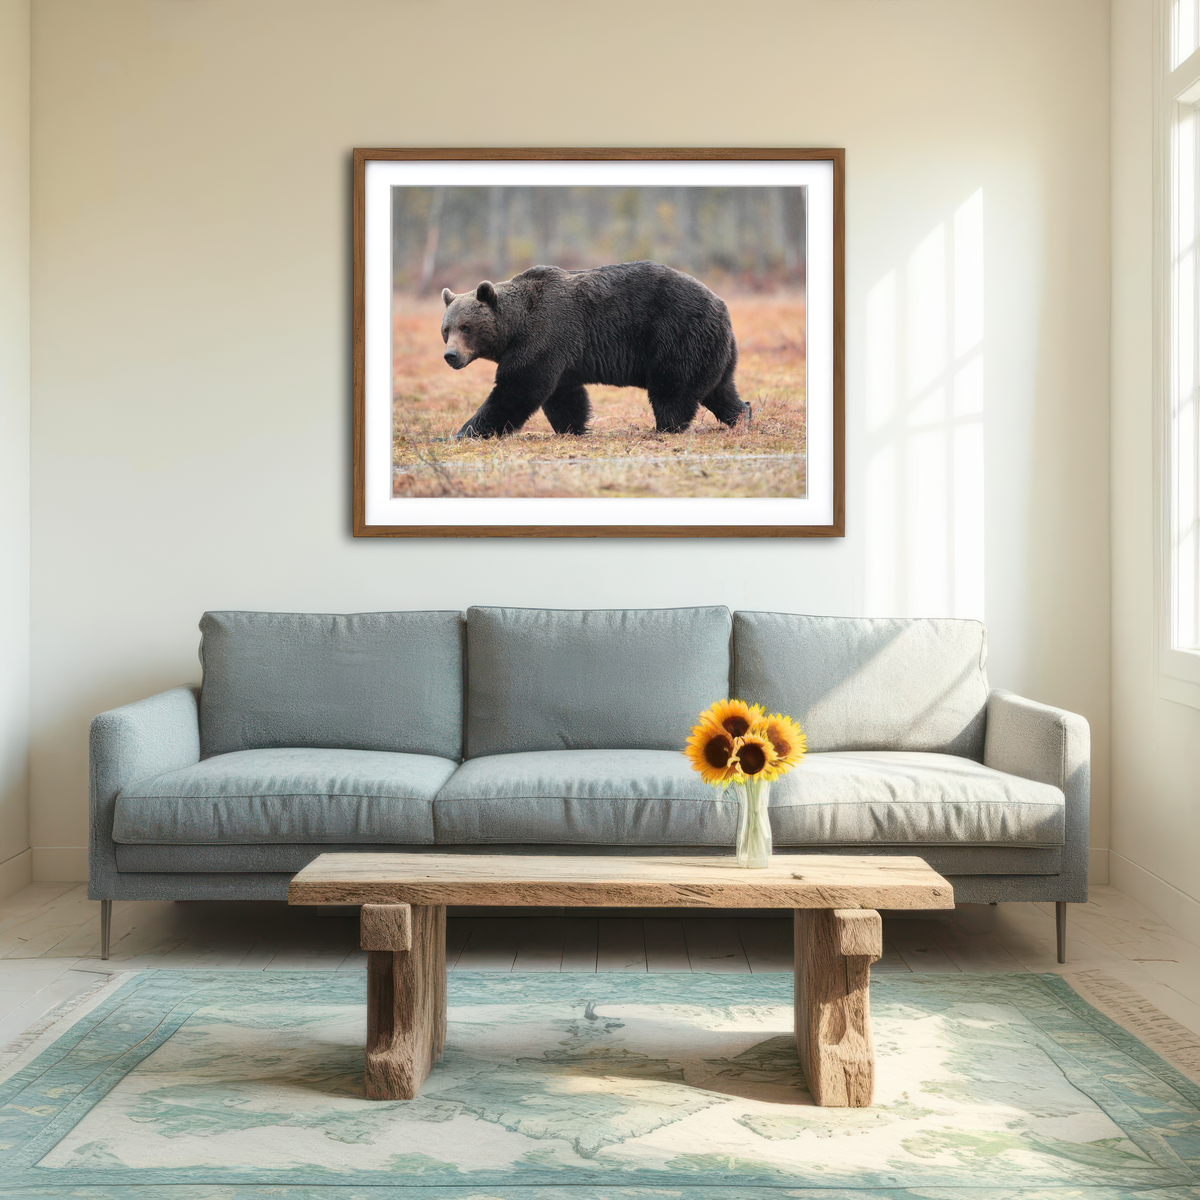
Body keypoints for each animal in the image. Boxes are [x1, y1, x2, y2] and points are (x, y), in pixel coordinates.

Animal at [440, 261, 749, 439]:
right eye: (446, 329)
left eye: (466, 327)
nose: (451, 356)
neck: (515, 326)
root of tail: (721, 304)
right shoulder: (560, 354)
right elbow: (564, 397)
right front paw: (572, 428)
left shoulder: (544, 335)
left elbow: (517, 389)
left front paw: (462, 432)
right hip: (713, 349)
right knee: (719, 390)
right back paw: (742, 414)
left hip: (677, 335)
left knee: (672, 390)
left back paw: (665, 427)